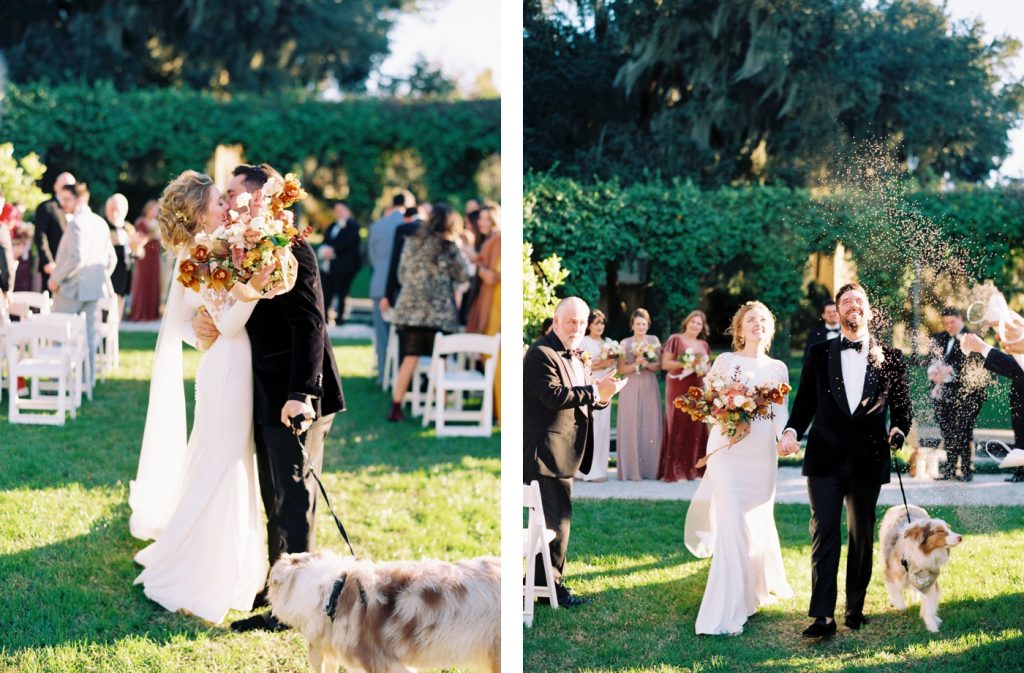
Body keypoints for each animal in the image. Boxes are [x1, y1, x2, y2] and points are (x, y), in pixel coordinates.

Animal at [876, 503, 962, 631]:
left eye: (949, 528)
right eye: (940, 531)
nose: (960, 537)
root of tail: (902, 505)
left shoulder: (929, 580)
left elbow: (929, 605)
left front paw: (932, 626)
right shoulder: (892, 574)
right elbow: (899, 599)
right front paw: (898, 604)